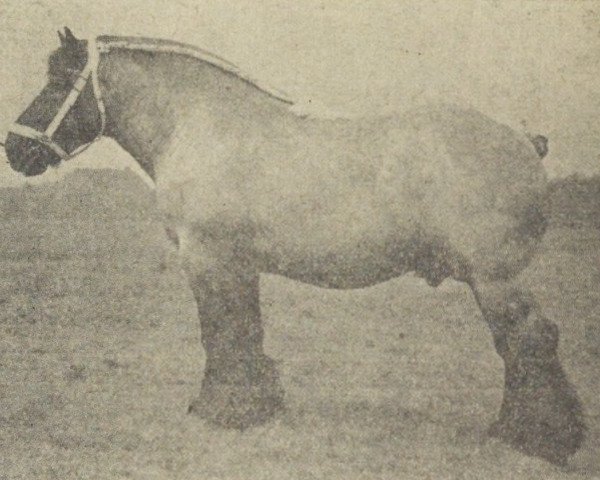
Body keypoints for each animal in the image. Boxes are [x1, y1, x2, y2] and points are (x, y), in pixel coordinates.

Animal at [2, 27, 584, 464]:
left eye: (59, 80)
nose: (15, 148)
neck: (203, 125)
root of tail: (524, 140)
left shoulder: (207, 258)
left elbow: (222, 334)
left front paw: (220, 411)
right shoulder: (238, 265)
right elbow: (245, 333)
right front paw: (256, 407)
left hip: (495, 280)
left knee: (531, 340)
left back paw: (541, 438)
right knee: (517, 345)